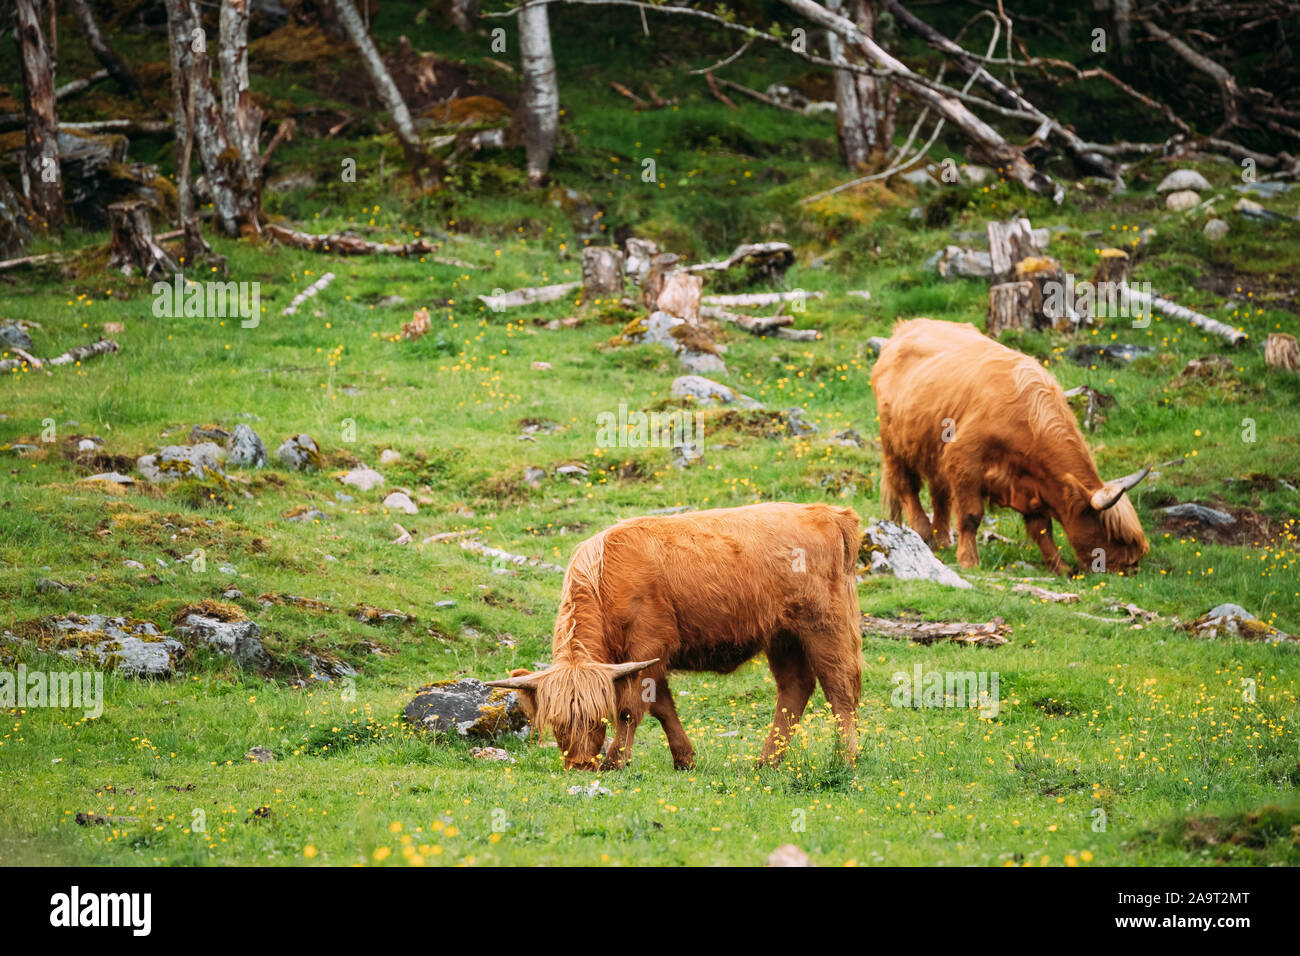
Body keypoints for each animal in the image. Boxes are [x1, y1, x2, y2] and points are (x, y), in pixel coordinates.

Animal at [488, 504, 863, 775]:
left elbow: (631, 708)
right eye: (557, 724)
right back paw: (767, 762)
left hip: (824, 626)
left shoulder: (648, 647)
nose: (579, 766)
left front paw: (614, 761)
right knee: (794, 689)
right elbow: (662, 707)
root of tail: (826, 512)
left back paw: (845, 758)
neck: (606, 579)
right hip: (783, 637)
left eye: (597, 720)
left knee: (839, 689)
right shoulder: (645, 660)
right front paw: (684, 759)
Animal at [868, 321, 1154, 574]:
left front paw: (1060, 568)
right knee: (906, 486)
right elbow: (971, 516)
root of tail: (906, 327)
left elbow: (1042, 529)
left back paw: (941, 541)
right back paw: (924, 533)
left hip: (932, 451)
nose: (1133, 566)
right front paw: (969, 561)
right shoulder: (964, 461)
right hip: (895, 445)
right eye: (1116, 535)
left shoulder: (1034, 484)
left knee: (939, 495)